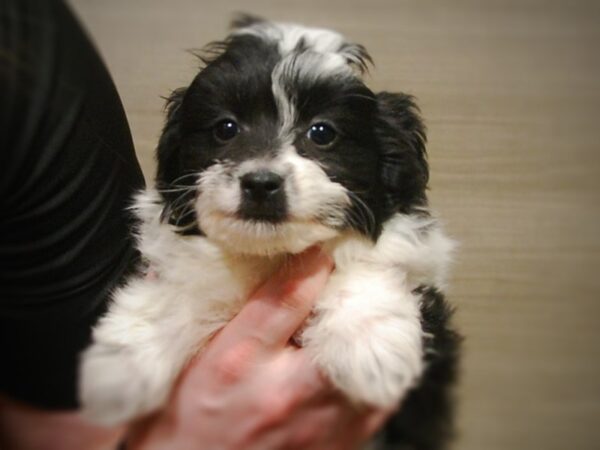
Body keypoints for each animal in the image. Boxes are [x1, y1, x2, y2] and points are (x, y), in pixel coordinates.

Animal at [77, 15, 458, 444]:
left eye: (322, 132)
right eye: (225, 128)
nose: (260, 183)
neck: (272, 256)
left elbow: (369, 263)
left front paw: (370, 347)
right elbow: (178, 291)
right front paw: (118, 371)